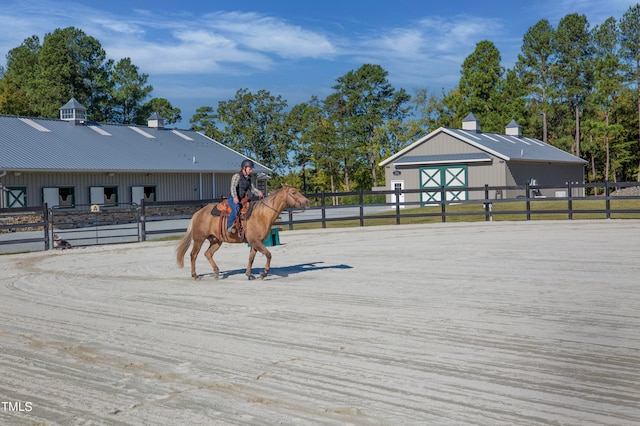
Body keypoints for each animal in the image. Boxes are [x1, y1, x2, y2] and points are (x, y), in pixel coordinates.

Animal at [175, 183, 310, 280]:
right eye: (293, 192)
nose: (307, 202)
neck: (262, 214)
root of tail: (197, 213)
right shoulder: (256, 242)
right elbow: (268, 254)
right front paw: (264, 273)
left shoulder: (255, 243)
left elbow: (251, 258)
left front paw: (249, 274)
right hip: (199, 240)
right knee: (193, 255)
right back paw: (195, 275)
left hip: (216, 241)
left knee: (208, 254)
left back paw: (216, 272)